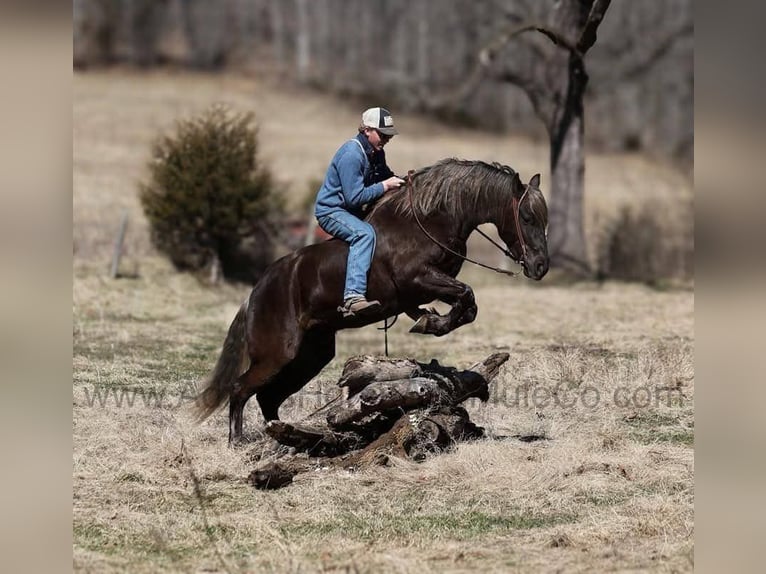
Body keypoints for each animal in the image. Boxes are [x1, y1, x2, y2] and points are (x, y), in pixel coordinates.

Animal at [195, 158, 549, 443]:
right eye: (527, 217)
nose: (541, 267)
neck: (428, 221)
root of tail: (256, 292)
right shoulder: (418, 280)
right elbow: (466, 296)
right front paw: (429, 323)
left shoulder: (429, 287)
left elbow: (466, 306)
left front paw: (429, 320)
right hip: (277, 353)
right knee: (241, 389)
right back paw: (238, 442)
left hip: (310, 355)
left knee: (269, 397)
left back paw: (285, 437)